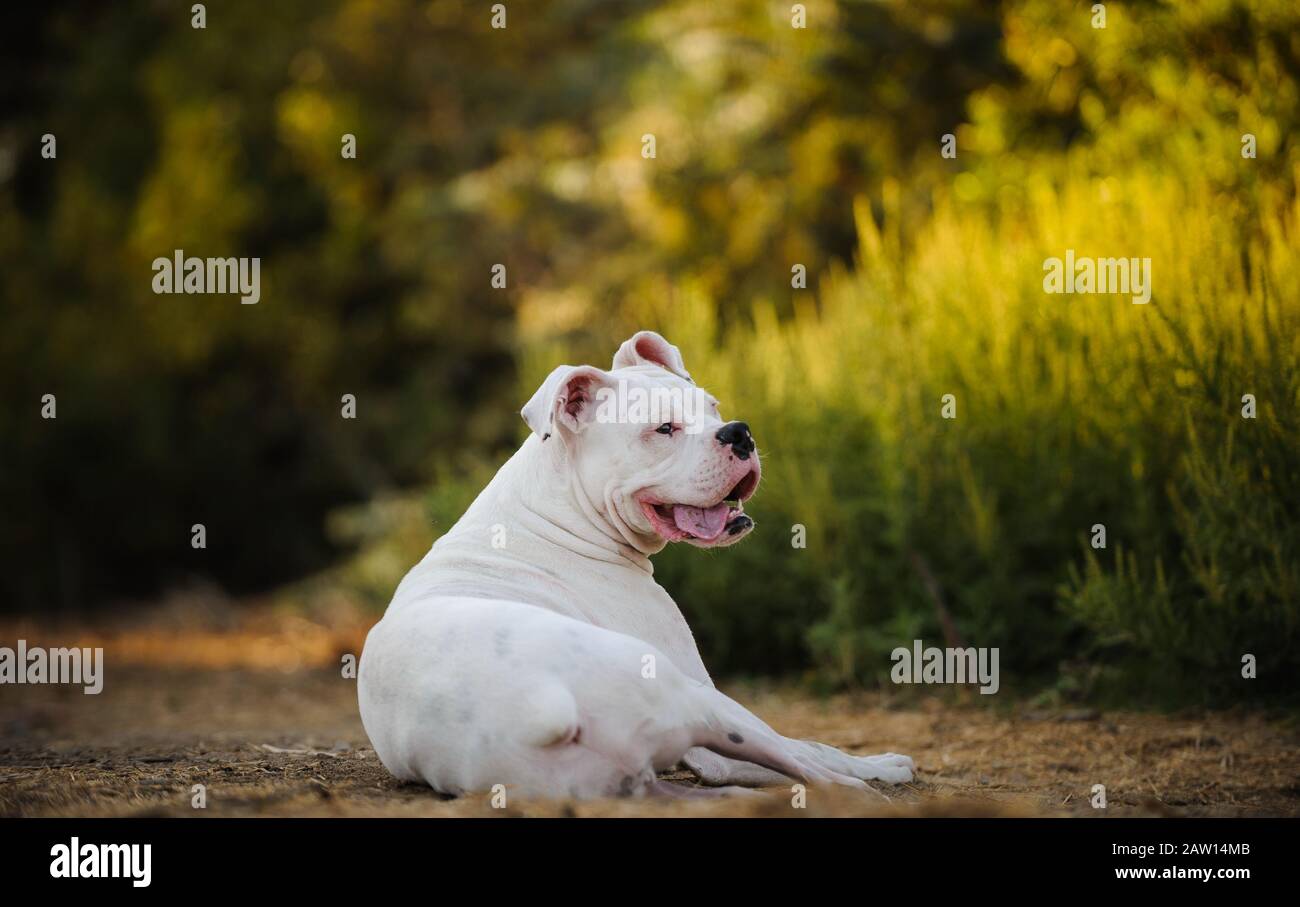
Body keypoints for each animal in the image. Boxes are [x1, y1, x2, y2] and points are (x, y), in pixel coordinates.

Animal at [356, 328, 915, 795]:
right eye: (663, 429)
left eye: (714, 407)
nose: (739, 432)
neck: (557, 514)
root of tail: (541, 704)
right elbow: (815, 745)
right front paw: (884, 765)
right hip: (702, 702)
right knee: (811, 767)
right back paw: (868, 784)